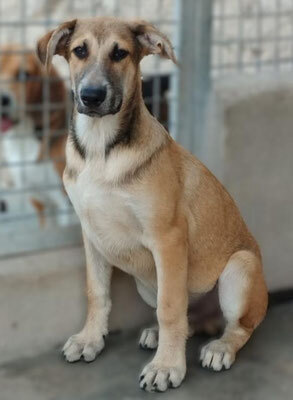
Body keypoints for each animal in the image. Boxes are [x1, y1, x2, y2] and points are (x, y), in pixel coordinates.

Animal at [37, 17, 266, 392]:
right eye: (79, 51)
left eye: (120, 53)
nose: (91, 96)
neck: (101, 150)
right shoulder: (91, 234)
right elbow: (97, 293)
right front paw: (90, 340)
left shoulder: (167, 238)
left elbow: (170, 306)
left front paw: (166, 367)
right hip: (148, 283)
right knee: (185, 317)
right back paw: (161, 335)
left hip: (240, 270)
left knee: (237, 326)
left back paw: (219, 348)